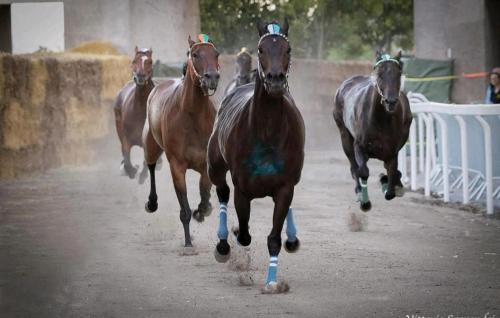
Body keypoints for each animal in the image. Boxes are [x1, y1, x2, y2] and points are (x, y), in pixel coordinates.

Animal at [113, 46, 160, 183]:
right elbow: (127, 160)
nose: (140, 76)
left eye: (150, 61)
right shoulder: (126, 138)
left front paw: (142, 175)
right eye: (134, 61)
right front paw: (131, 170)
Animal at [141, 34, 219, 255]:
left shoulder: (205, 164)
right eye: (195, 54)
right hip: (151, 143)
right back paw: (152, 202)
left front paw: (202, 212)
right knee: (151, 165)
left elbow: (204, 194)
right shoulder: (177, 165)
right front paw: (188, 243)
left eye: (216, 53)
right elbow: (184, 207)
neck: (193, 117)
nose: (212, 77)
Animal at [207, 19, 304, 294]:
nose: (275, 80)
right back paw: (223, 243)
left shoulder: (284, 186)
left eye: (288, 49)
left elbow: (274, 238)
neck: (268, 130)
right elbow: (244, 234)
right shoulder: (243, 188)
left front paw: (272, 282)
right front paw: (231, 237)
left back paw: (292, 238)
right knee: (222, 192)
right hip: (215, 165)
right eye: (261, 49)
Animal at [334, 51, 412, 211]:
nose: (391, 101)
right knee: (354, 166)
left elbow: (390, 189)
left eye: (398, 73)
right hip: (344, 135)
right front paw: (365, 202)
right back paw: (359, 190)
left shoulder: (391, 151)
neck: (381, 119)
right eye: (380, 74)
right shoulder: (360, 145)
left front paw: (387, 182)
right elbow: (362, 171)